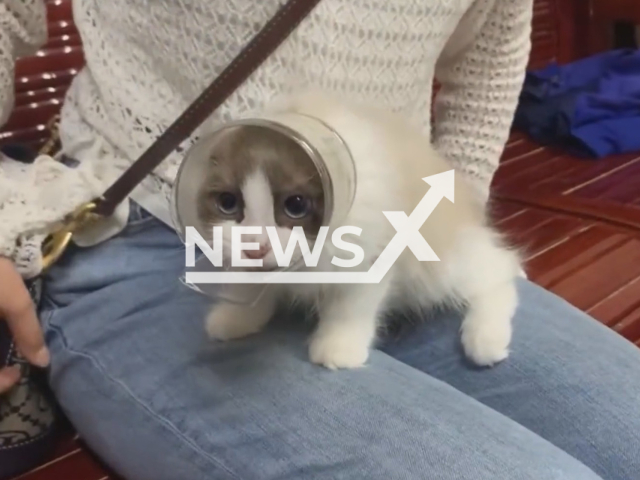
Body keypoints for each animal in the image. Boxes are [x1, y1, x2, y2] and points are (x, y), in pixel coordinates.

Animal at [198, 90, 524, 370]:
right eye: (228, 202)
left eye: (296, 205)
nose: (257, 245)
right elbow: (248, 285)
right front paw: (236, 317)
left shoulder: (372, 253)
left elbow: (349, 306)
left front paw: (338, 348)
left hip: (441, 266)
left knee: (498, 270)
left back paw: (486, 339)